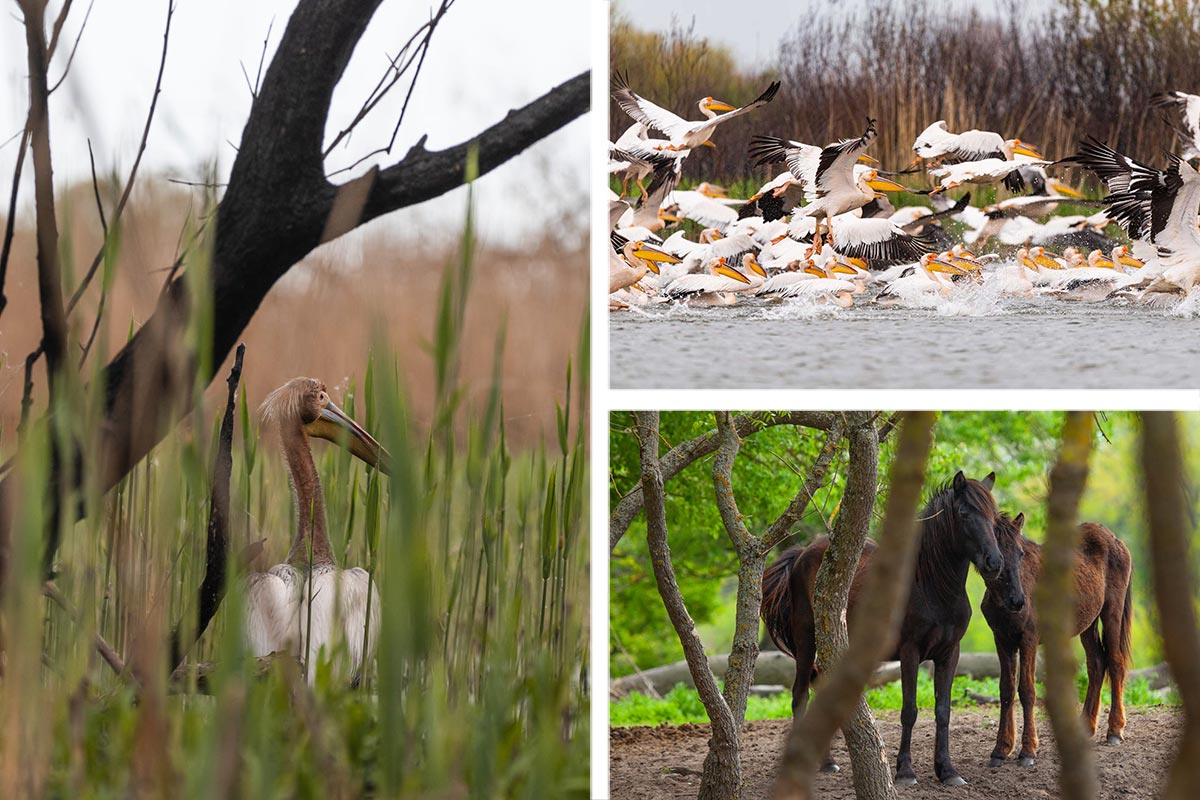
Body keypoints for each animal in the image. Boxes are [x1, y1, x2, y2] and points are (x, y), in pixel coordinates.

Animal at [758, 472, 1012, 786]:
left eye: (994, 517)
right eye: (964, 513)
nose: (994, 563)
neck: (930, 585)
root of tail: (804, 552)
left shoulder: (949, 653)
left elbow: (943, 711)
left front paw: (948, 771)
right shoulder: (910, 652)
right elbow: (909, 711)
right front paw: (905, 772)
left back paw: (827, 762)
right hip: (807, 641)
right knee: (800, 695)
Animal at [979, 510, 1128, 767]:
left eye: (1020, 553)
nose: (1018, 601)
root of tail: (1114, 539)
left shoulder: (1028, 639)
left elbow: (1027, 691)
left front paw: (1028, 751)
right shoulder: (1003, 640)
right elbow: (1006, 690)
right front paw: (1001, 749)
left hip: (1111, 613)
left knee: (1116, 663)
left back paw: (1114, 731)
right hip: (1088, 624)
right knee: (1097, 663)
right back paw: (1085, 728)